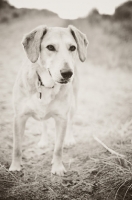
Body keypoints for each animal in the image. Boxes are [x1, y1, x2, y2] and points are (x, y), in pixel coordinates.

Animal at [9, 25, 88, 177]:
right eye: (50, 47)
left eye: (72, 48)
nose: (67, 73)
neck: (45, 84)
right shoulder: (19, 117)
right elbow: (17, 146)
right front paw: (15, 167)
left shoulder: (62, 119)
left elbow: (58, 148)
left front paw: (57, 167)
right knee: (44, 123)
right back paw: (43, 141)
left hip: (73, 105)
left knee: (71, 121)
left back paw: (69, 139)